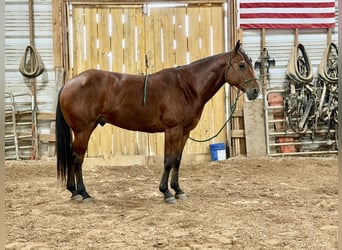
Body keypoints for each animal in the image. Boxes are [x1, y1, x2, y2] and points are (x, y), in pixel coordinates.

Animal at [56, 40, 260, 203]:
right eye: (241, 65)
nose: (255, 91)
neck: (186, 87)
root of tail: (69, 83)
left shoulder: (184, 132)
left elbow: (177, 160)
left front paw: (178, 190)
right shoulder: (172, 130)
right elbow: (168, 161)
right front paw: (166, 193)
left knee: (73, 157)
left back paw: (74, 191)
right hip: (83, 130)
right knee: (77, 158)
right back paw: (83, 193)